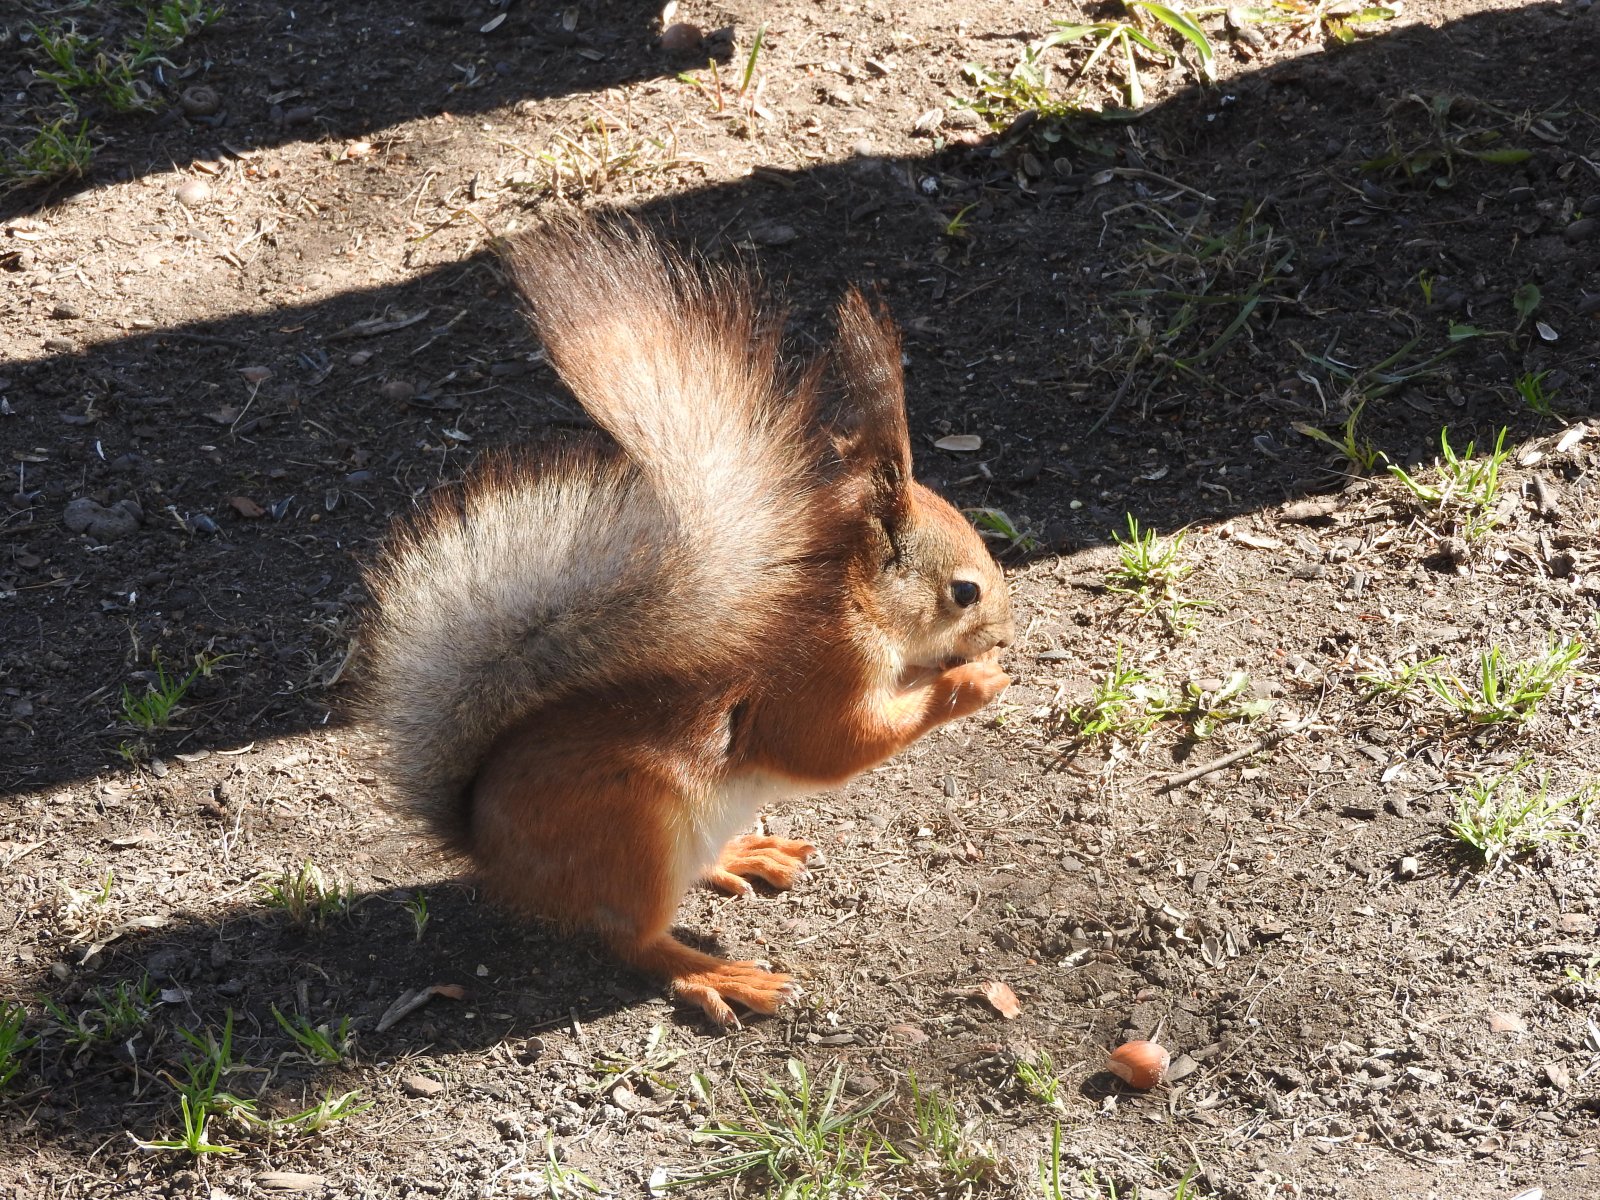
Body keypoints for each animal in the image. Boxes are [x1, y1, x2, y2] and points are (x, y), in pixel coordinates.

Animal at [361, 219, 1011, 1036]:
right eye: (964, 591)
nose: (1004, 633)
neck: (853, 602)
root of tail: (488, 849)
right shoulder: (816, 677)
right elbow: (837, 746)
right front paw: (970, 681)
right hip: (636, 832)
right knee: (633, 942)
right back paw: (720, 974)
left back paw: (740, 857)